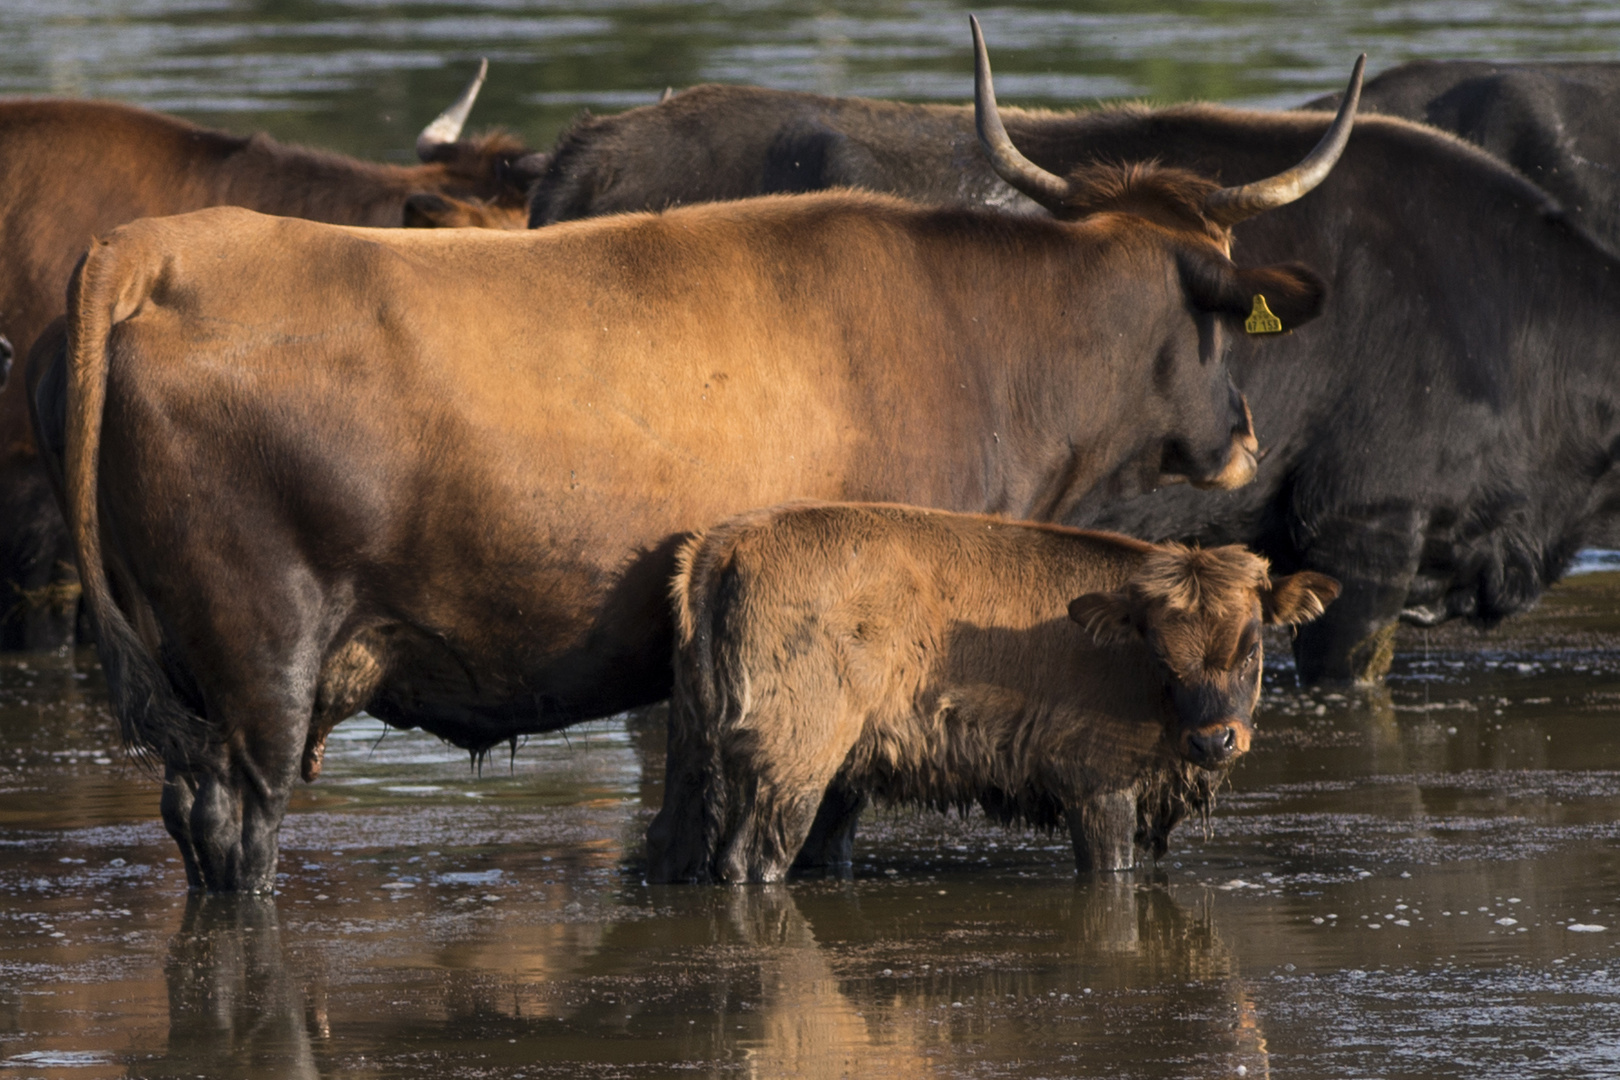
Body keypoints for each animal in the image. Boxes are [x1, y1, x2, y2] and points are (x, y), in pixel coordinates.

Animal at [644, 501, 1341, 880]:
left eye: (1251, 647)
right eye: (1162, 655)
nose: (1216, 740)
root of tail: (723, 544)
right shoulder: (1098, 788)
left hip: (697, 755)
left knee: (673, 847)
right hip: (793, 768)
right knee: (752, 860)